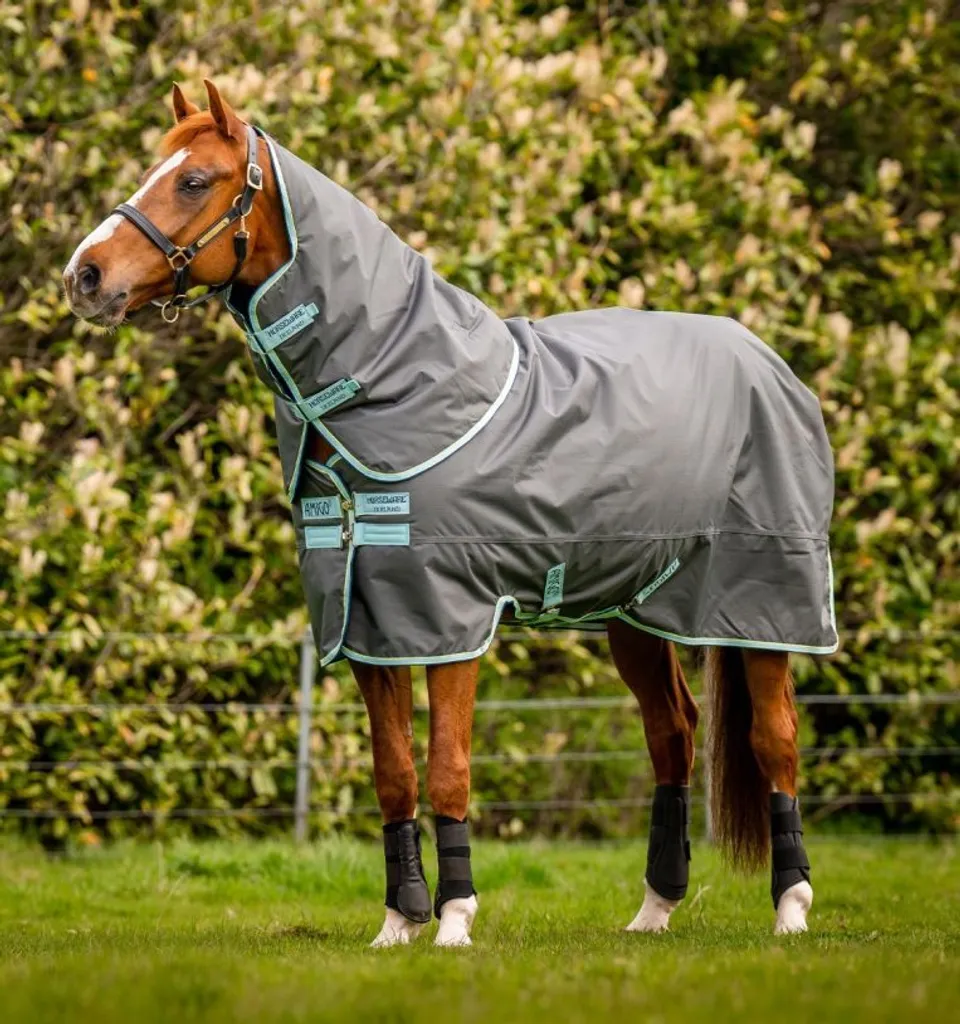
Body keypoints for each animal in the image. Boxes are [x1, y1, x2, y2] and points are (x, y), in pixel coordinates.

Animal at [63, 80, 834, 947]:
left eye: (195, 180)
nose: (84, 274)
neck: (401, 387)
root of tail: (769, 362)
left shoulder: (450, 620)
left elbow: (447, 770)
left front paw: (456, 920)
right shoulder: (371, 625)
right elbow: (394, 774)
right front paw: (399, 923)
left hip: (766, 601)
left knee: (775, 741)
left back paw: (791, 910)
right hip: (638, 612)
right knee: (672, 733)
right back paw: (653, 911)